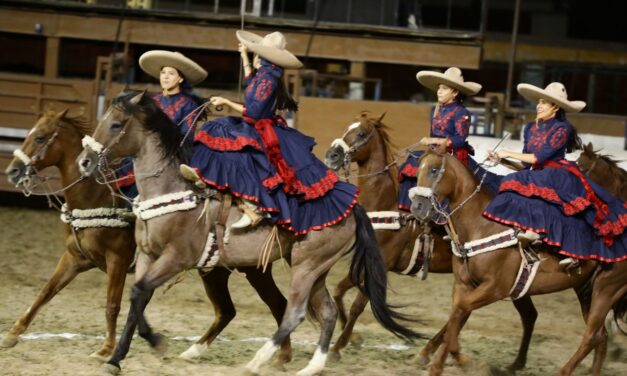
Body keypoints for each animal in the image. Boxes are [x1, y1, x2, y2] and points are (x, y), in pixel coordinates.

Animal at [0, 108, 294, 368]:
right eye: (29, 133)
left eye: (40, 137)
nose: (12, 171)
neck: (95, 198)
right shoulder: (75, 258)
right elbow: (46, 292)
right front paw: (13, 334)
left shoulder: (117, 260)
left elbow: (113, 304)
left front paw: (106, 349)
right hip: (214, 271)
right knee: (227, 310)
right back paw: (195, 352)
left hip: (254, 270)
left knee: (279, 304)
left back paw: (282, 356)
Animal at [78, 91, 422, 376]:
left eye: (116, 124)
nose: (85, 161)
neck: (172, 188)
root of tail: (352, 207)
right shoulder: (148, 256)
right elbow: (138, 299)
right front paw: (120, 356)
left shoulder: (175, 259)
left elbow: (138, 294)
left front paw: (147, 345)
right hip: (315, 269)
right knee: (326, 312)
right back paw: (310, 368)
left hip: (306, 267)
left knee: (294, 312)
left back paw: (257, 361)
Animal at [324, 111, 540, 370]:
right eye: (347, 128)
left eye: (361, 133)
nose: (332, 155)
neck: (387, 204)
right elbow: (338, 291)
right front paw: (353, 338)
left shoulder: (381, 265)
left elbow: (358, 305)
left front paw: (338, 346)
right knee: (513, 314)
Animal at [412, 150, 627, 376]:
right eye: (418, 171)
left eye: (434, 170)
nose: (417, 207)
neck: (482, 226)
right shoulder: (464, 284)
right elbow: (456, 315)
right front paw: (437, 364)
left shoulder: (495, 288)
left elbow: (459, 312)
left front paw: (461, 359)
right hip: (586, 291)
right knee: (601, 336)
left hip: (606, 289)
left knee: (592, 335)